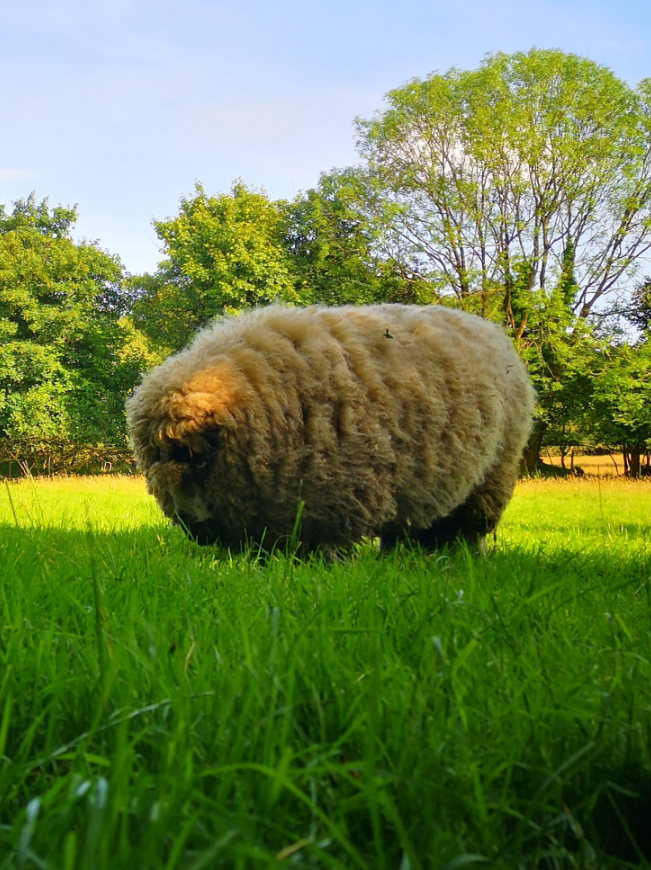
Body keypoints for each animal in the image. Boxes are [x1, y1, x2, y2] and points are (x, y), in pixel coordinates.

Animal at [126, 304, 536, 556]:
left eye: (195, 457)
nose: (194, 529)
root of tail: (492, 329)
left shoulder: (335, 491)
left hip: (492, 476)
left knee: (467, 528)